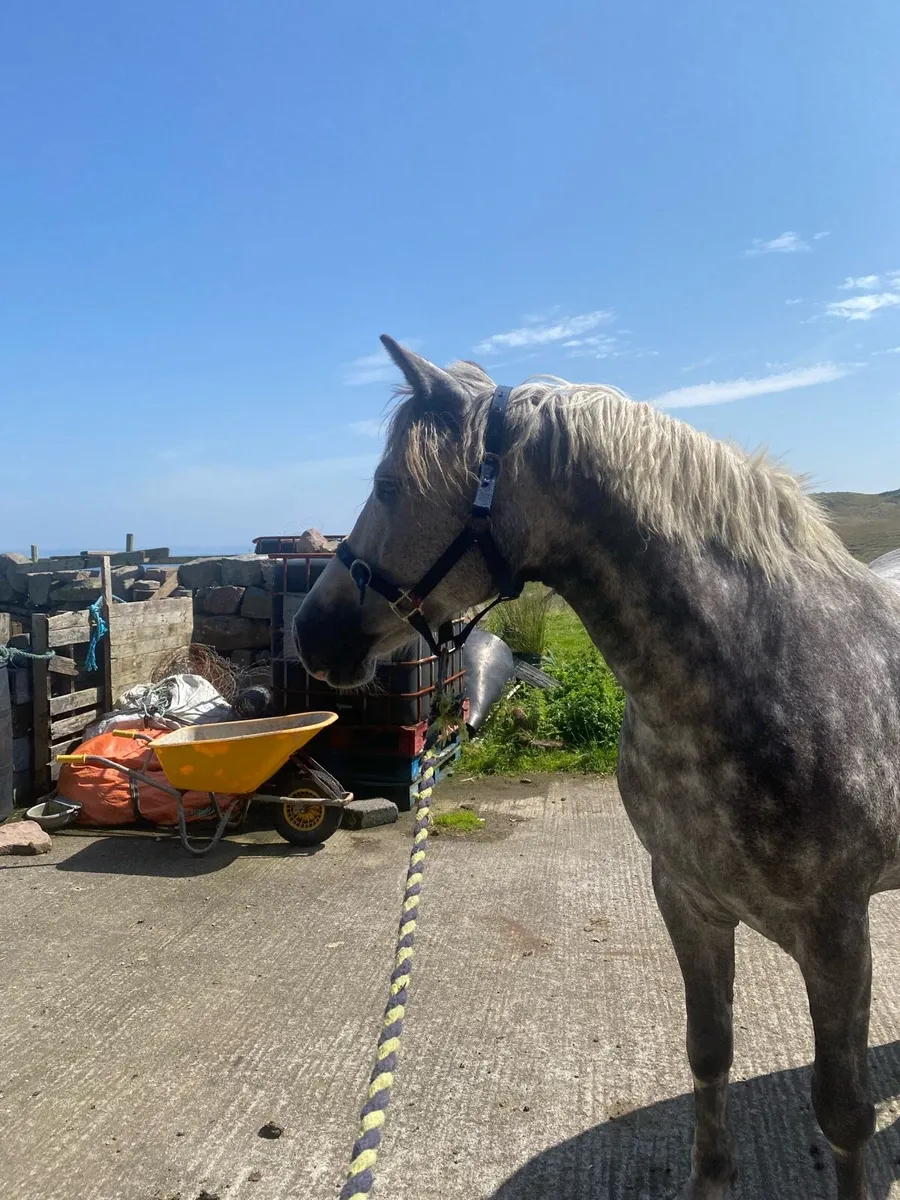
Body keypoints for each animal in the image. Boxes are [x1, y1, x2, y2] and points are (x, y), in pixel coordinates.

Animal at [295, 336, 900, 1200]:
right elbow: (708, 1052)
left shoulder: (836, 936)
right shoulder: (687, 900)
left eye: (387, 485)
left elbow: (845, 1114)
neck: (766, 669)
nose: (310, 633)